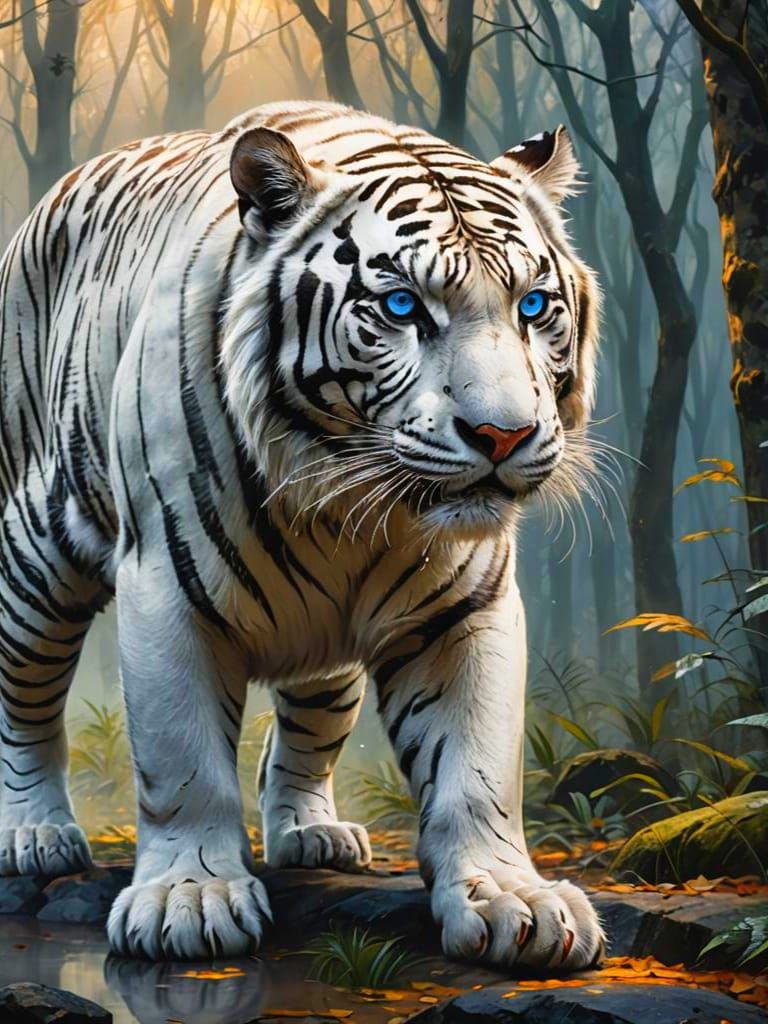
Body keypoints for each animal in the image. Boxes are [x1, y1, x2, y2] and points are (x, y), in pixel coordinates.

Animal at [0, 100, 603, 968]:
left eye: (533, 305)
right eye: (401, 308)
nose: (503, 435)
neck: (349, 508)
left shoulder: (468, 607)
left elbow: (477, 770)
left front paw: (512, 901)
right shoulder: (166, 591)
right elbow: (184, 764)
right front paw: (191, 899)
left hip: (325, 655)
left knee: (310, 729)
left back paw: (312, 833)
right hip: (37, 555)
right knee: (28, 698)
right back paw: (34, 834)